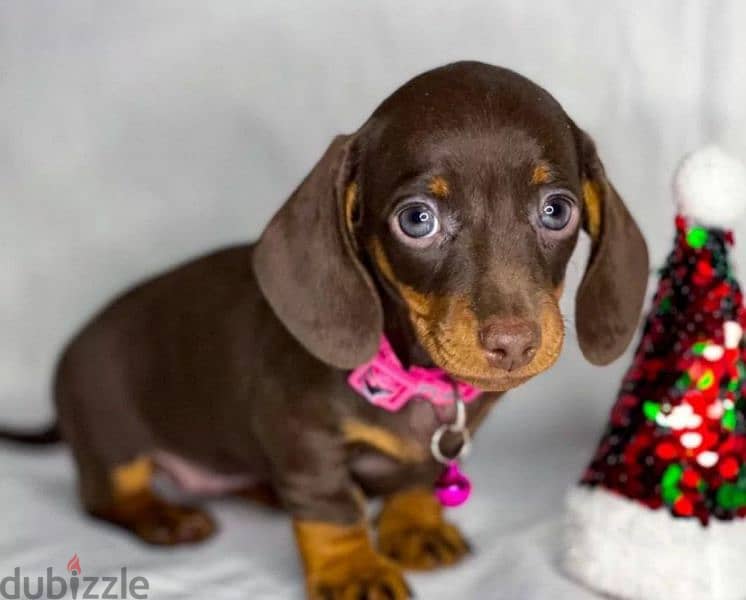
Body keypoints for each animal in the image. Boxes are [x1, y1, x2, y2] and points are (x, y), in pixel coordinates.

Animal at [1, 62, 644, 600]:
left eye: (557, 210)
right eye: (418, 220)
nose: (513, 343)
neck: (406, 375)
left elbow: (417, 480)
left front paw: (415, 525)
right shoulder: (304, 438)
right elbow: (332, 508)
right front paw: (352, 569)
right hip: (112, 434)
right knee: (105, 496)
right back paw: (163, 516)